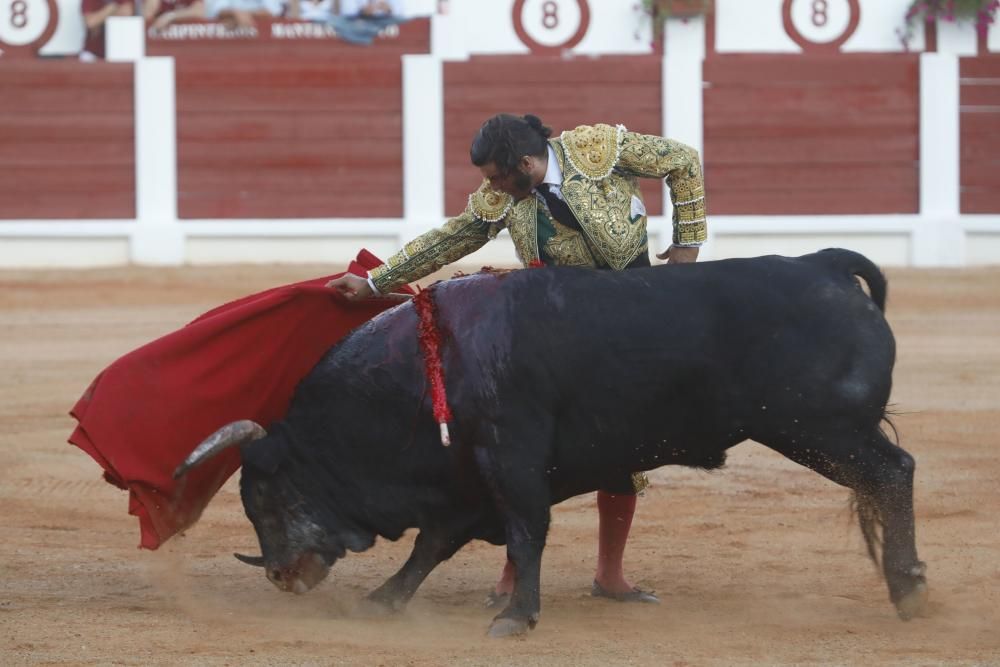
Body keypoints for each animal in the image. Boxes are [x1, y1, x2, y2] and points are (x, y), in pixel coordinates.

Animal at [174, 249, 928, 636]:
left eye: (263, 496)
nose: (280, 574)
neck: (423, 369)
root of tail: (821, 263)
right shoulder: (463, 480)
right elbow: (433, 545)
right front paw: (385, 600)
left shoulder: (509, 459)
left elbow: (524, 531)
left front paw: (516, 616)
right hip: (821, 431)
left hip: (819, 429)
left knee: (894, 472)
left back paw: (910, 591)